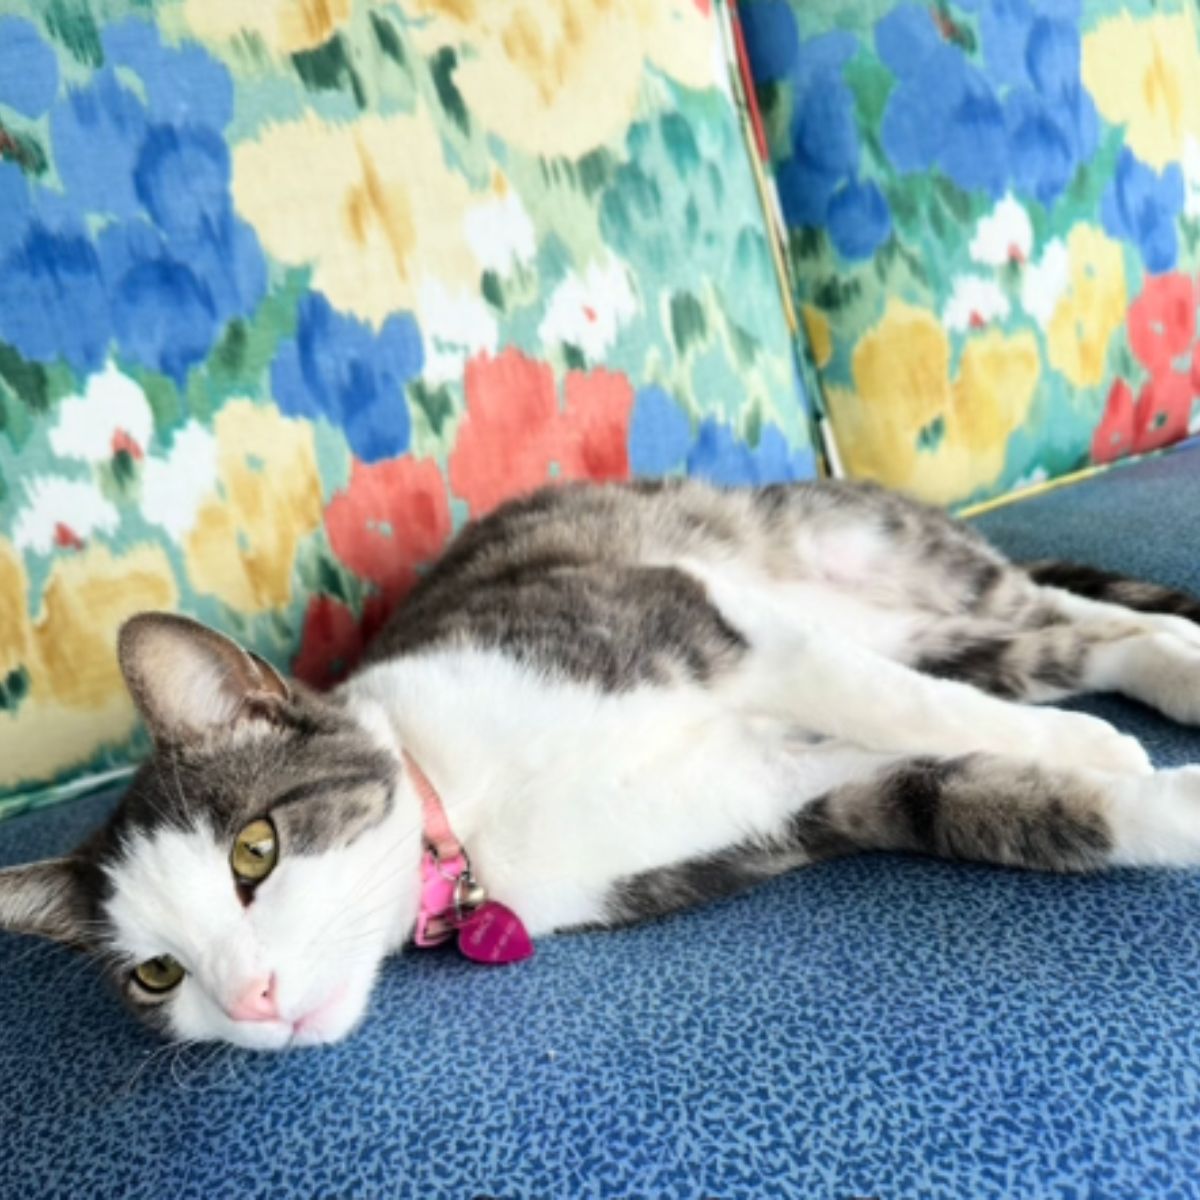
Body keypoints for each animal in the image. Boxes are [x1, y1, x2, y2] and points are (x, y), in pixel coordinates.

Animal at [2, 477, 1200, 1051]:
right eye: (158, 976)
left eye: (254, 851)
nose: (249, 1001)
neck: (470, 817)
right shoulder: (792, 799)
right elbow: (972, 799)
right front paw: (1150, 795)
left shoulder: (695, 617)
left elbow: (892, 700)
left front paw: (1089, 742)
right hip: (940, 628)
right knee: (1061, 642)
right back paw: (1172, 665)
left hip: (874, 556)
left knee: (1045, 614)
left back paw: (1167, 653)